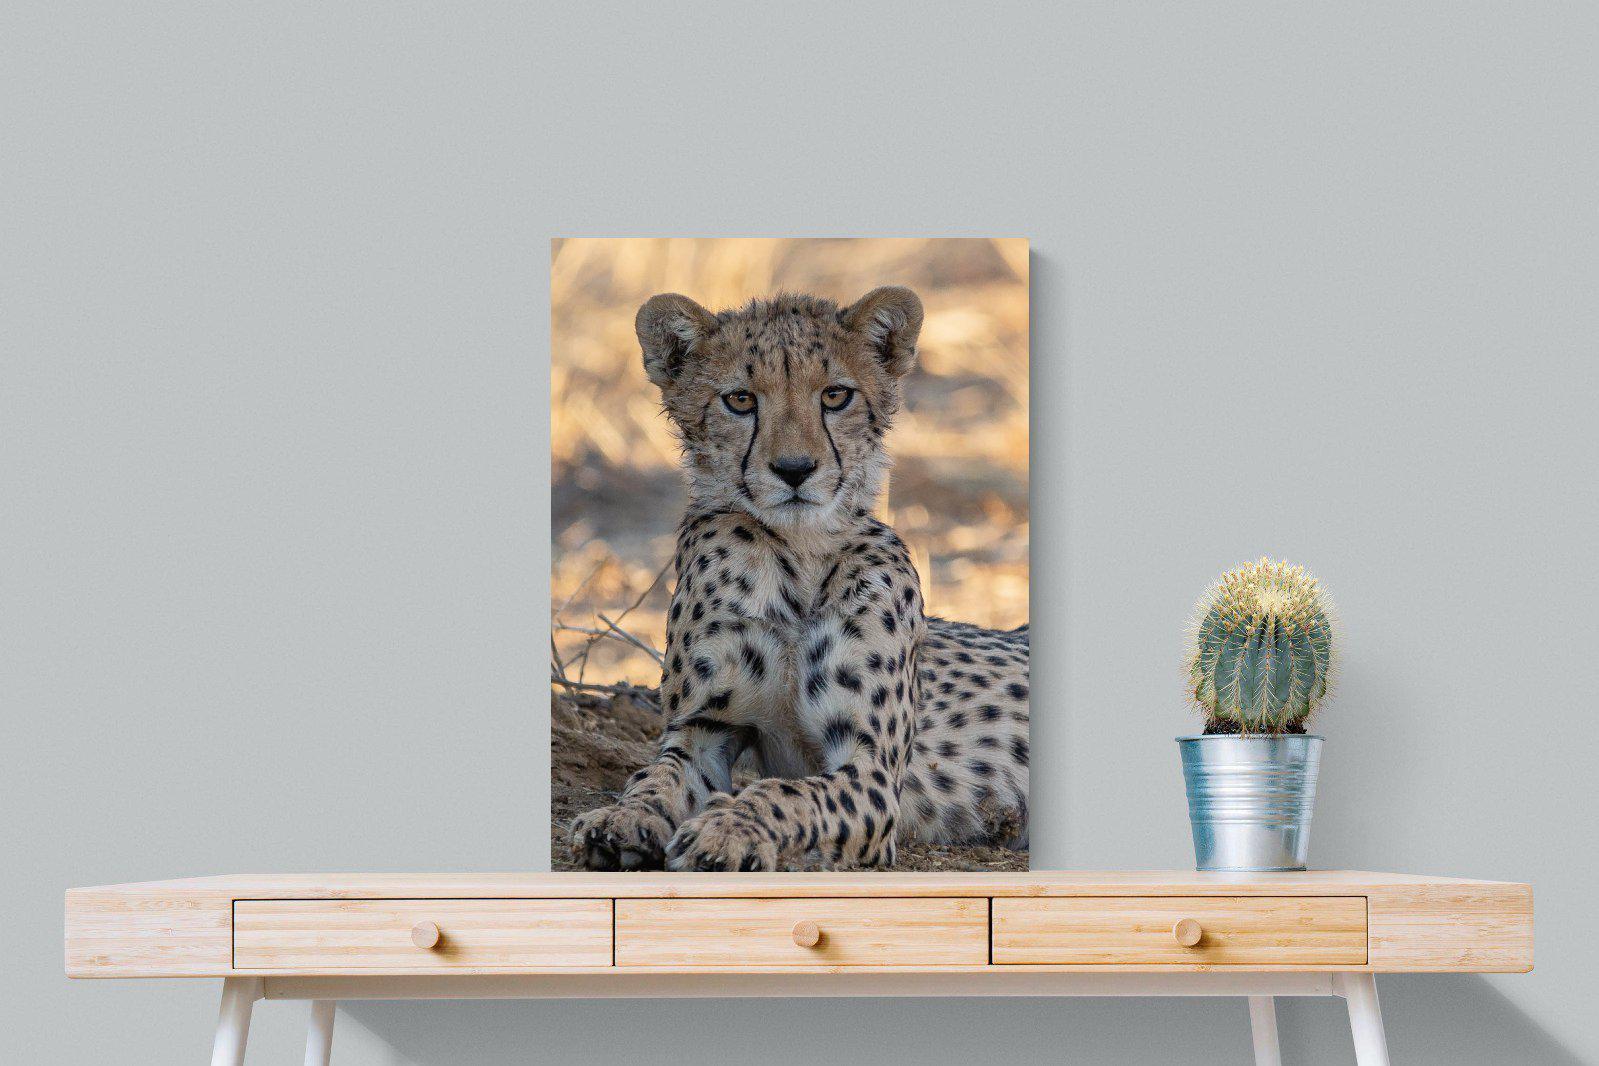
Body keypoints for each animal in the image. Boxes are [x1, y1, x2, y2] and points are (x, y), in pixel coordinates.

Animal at [570, 286, 1030, 872]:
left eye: (835, 395)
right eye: (740, 400)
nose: (794, 469)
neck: (798, 556)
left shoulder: (871, 769)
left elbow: (786, 793)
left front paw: (728, 828)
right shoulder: (703, 731)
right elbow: (656, 776)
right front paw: (622, 818)